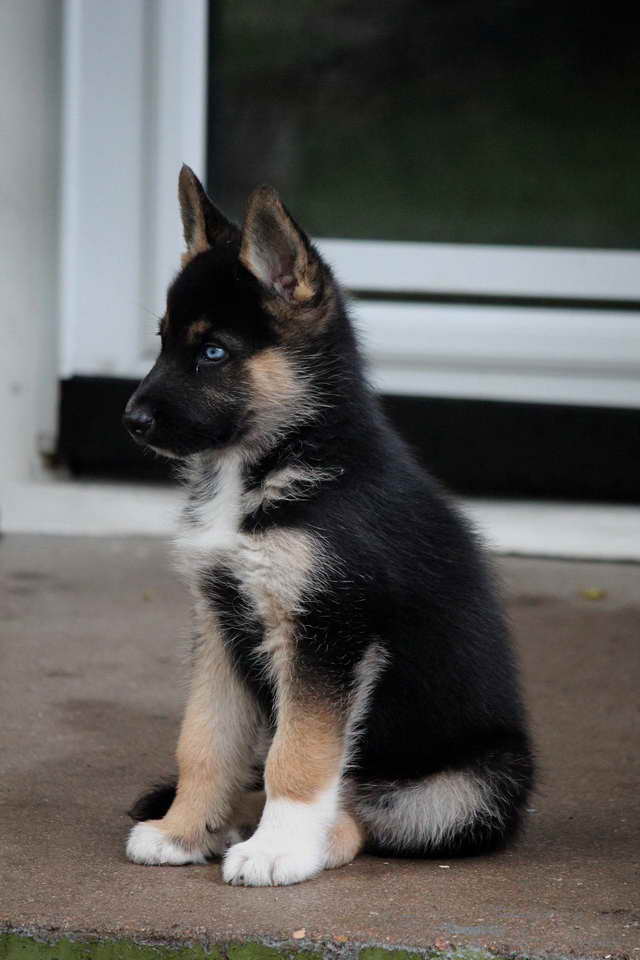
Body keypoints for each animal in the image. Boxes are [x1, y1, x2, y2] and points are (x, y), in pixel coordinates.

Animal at [122, 163, 532, 884]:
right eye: (165, 341)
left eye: (214, 352)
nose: (131, 421)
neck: (273, 461)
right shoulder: (219, 624)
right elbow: (203, 741)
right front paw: (183, 830)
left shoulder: (329, 631)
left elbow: (299, 755)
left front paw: (277, 848)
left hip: (470, 785)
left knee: (373, 816)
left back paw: (303, 840)